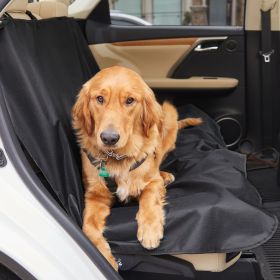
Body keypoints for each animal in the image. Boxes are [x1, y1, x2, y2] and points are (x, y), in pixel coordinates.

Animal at [72, 66, 201, 272]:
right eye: (99, 99)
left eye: (130, 100)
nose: (109, 138)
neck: (117, 158)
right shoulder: (94, 195)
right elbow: (88, 227)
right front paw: (105, 256)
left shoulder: (152, 181)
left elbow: (149, 195)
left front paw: (150, 230)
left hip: (168, 115)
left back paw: (165, 175)